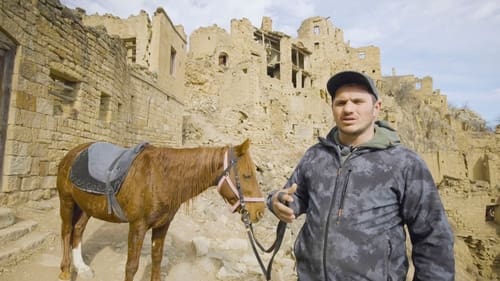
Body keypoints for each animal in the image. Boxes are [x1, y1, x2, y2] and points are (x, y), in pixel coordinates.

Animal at [56, 138, 268, 280]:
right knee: (66, 232)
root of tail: (72, 153)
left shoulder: (162, 225)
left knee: (78, 230)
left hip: (86, 207)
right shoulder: (137, 226)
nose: (260, 212)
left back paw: (82, 268)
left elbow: (157, 259)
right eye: (247, 175)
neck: (159, 178)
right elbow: (131, 266)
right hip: (67, 202)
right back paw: (65, 271)